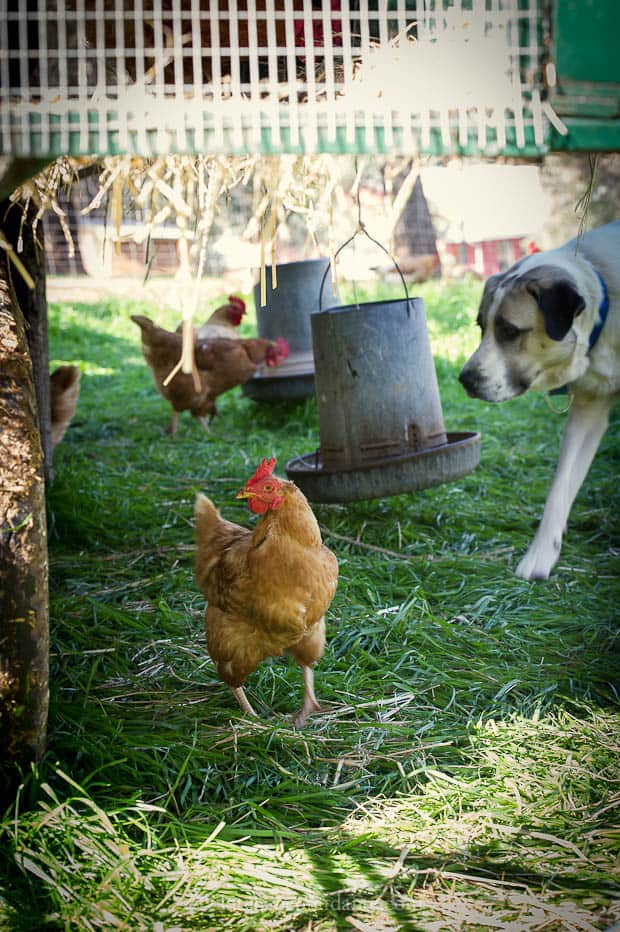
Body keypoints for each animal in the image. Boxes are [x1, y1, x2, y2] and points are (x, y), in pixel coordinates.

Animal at [458, 221, 616, 580]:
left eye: (510, 331)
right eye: (481, 326)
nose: (465, 380)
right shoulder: (589, 407)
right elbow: (561, 484)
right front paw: (543, 552)